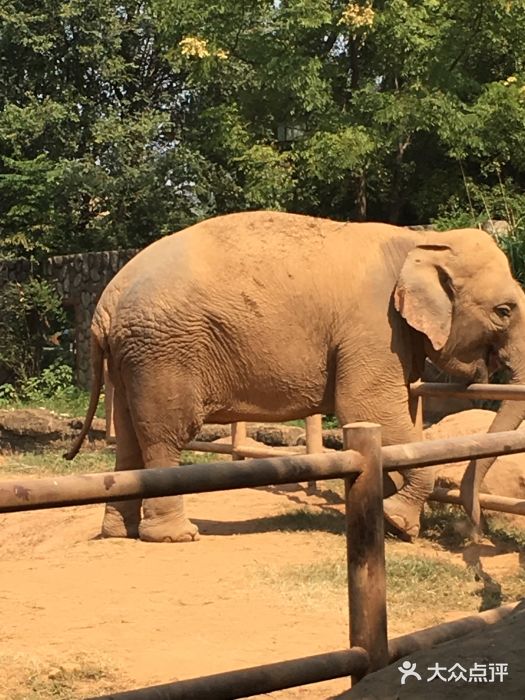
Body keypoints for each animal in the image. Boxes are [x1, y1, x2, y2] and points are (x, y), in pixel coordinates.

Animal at [65, 212, 524, 540]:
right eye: (504, 311)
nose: (472, 530)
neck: (419, 242)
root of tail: (105, 302)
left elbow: (393, 417)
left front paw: (388, 514)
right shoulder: (374, 327)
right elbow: (365, 408)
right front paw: (398, 524)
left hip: (133, 357)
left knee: (129, 436)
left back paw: (119, 532)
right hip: (162, 352)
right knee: (164, 434)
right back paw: (176, 536)